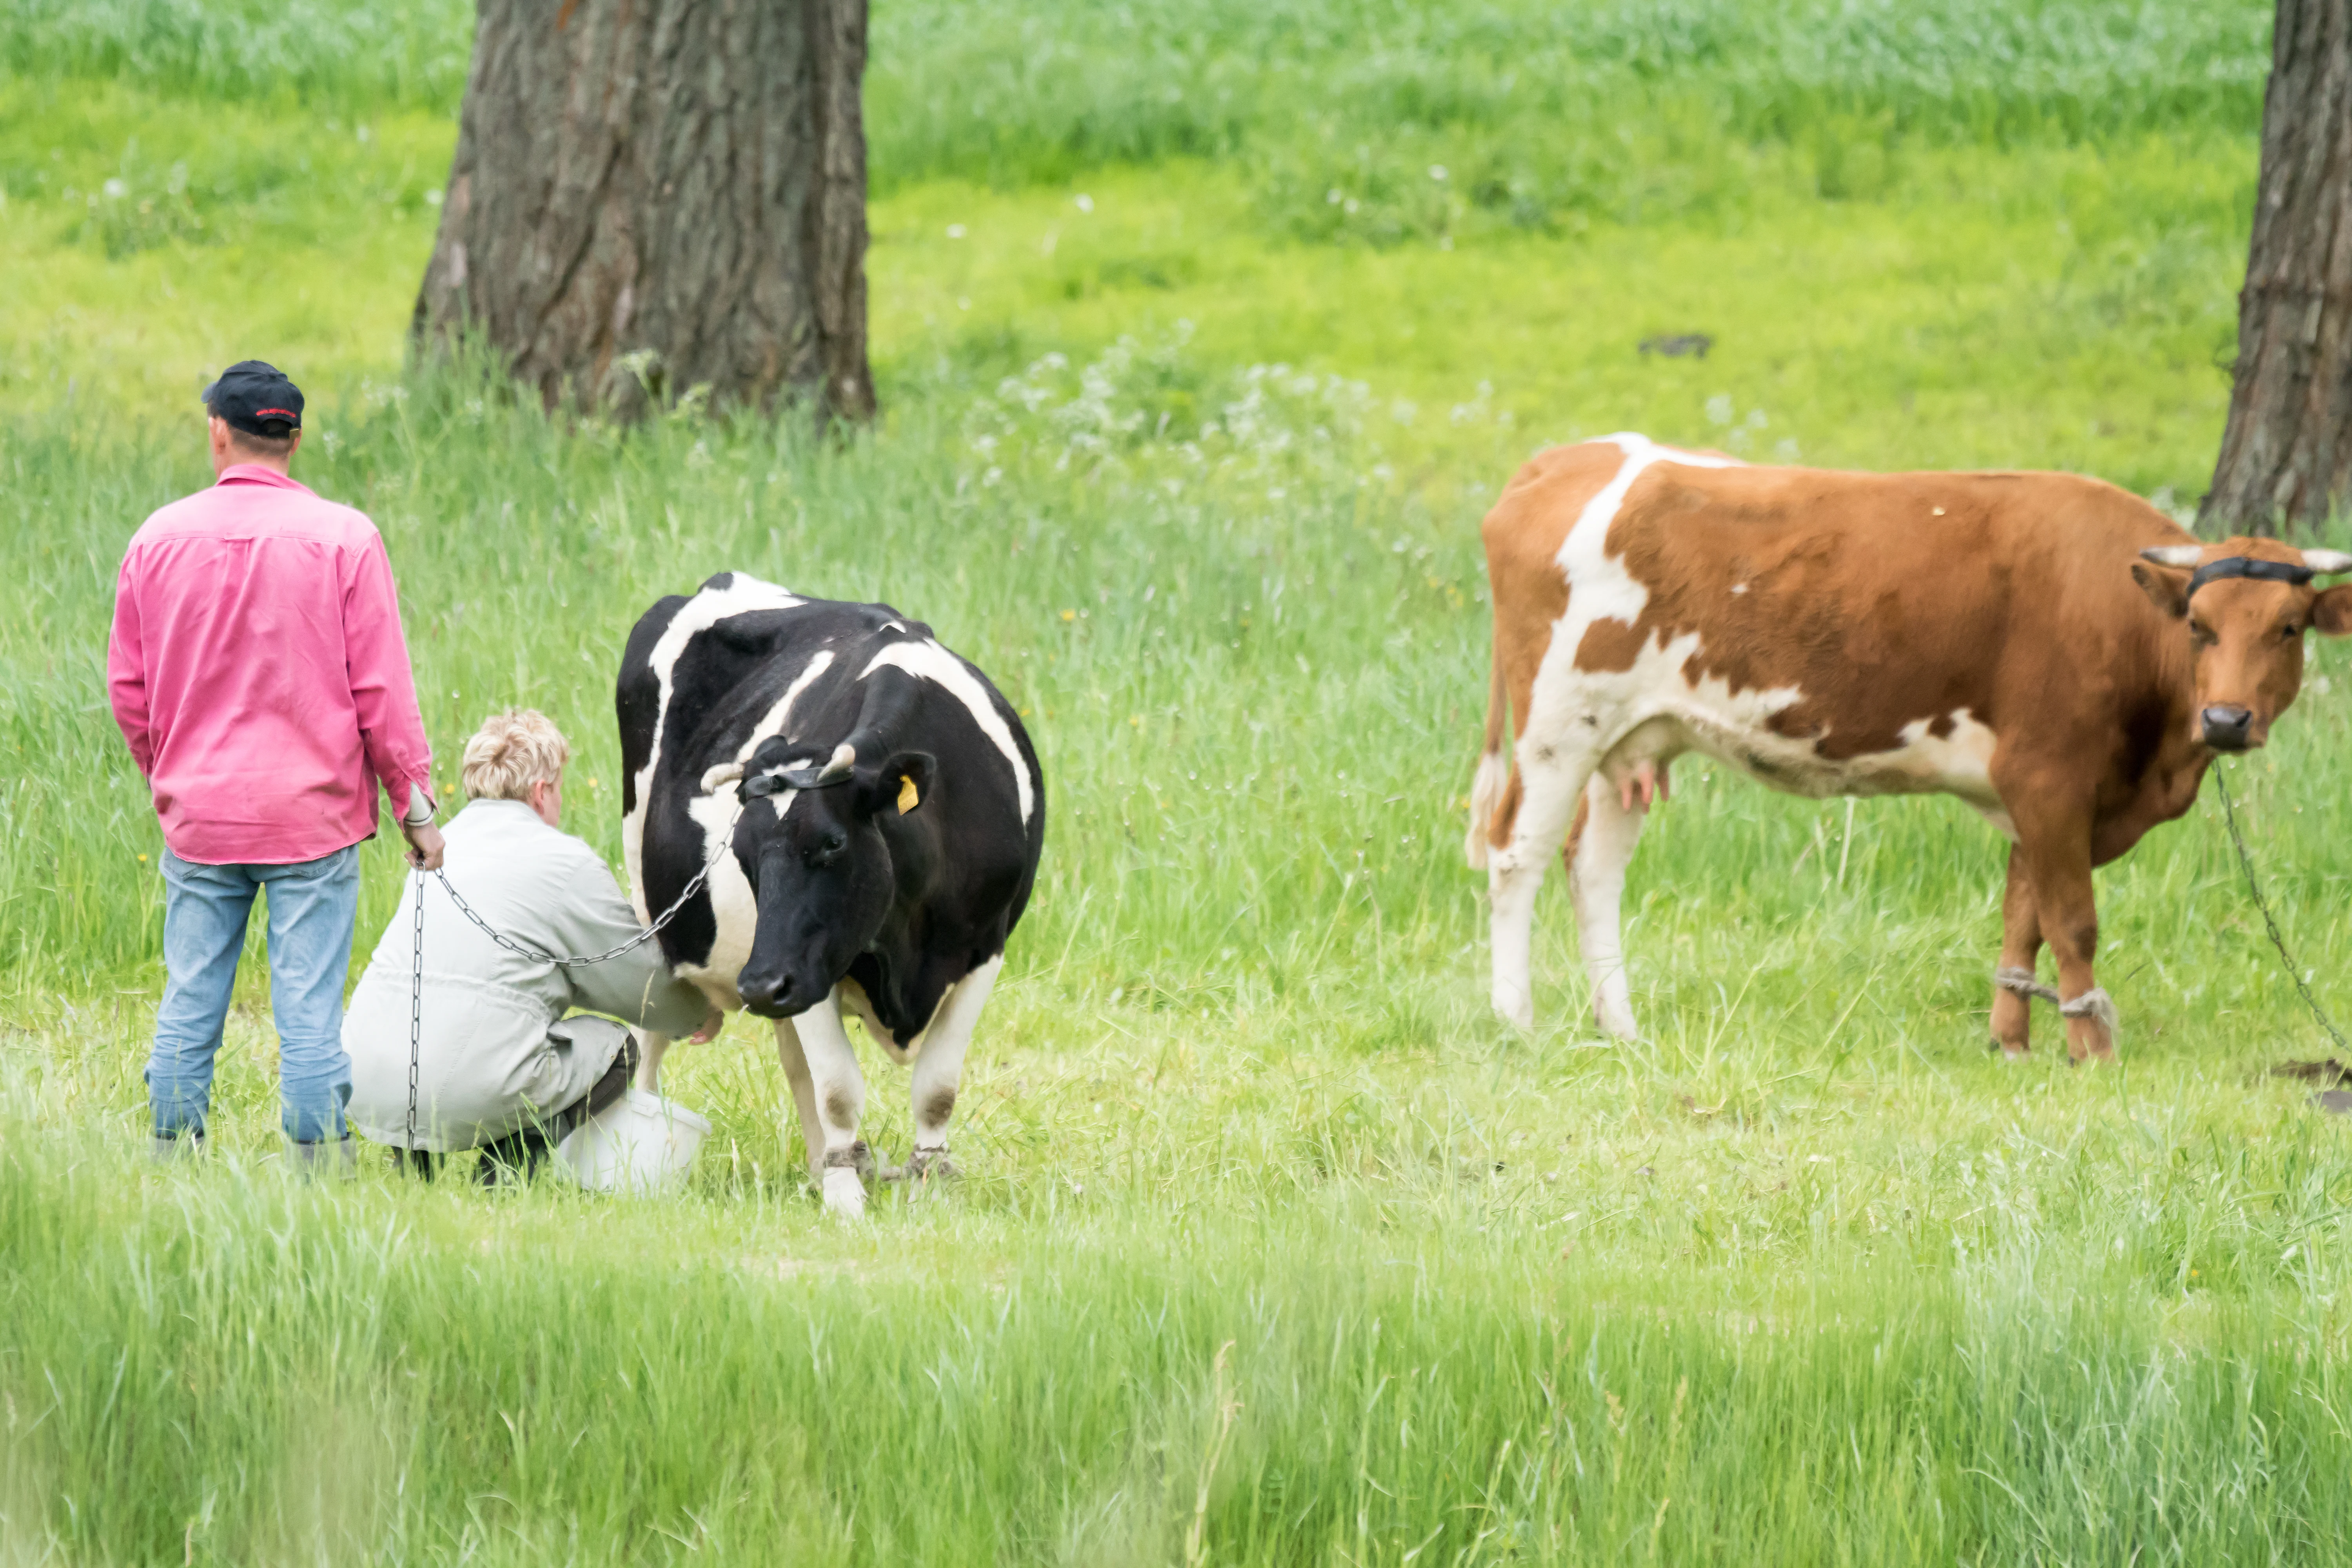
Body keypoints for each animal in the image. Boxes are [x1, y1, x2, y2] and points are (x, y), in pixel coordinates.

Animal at [618, 572, 1044, 1215]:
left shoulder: (983, 949)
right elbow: (840, 1089)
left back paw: (822, 1165)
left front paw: (927, 1187)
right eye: (742, 854)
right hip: (659, 915)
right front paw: (846, 1201)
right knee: (650, 1033)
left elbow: (937, 1089)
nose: (759, 985)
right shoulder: (812, 962)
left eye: (833, 843)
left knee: (797, 1063)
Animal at [1464, 433, 2352, 1062]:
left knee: (1593, 869)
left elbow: (2022, 916)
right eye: (2198, 625)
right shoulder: (2050, 777)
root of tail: (1570, 455)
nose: (2227, 719)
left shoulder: (2031, 793)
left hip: (1631, 740)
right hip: (1557, 724)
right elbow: (2072, 921)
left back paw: (1621, 1027)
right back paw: (1515, 1022)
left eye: (2288, 627)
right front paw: (2090, 1047)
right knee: (1517, 856)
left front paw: (2010, 1039)